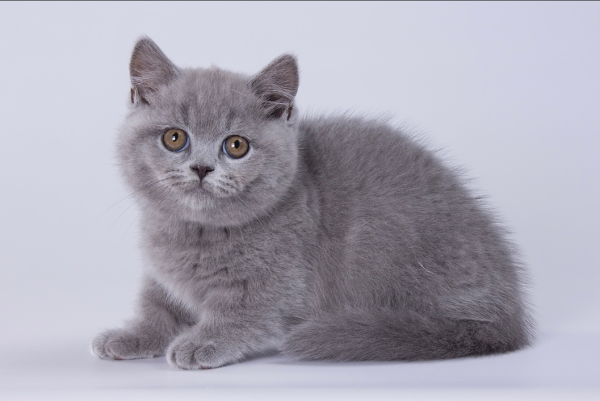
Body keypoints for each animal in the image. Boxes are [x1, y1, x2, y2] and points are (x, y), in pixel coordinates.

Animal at [92, 37, 536, 368]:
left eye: (236, 145)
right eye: (174, 138)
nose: (202, 168)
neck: (196, 231)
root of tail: (511, 319)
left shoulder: (281, 285)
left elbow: (247, 314)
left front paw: (203, 342)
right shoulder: (162, 275)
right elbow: (158, 307)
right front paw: (132, 335)